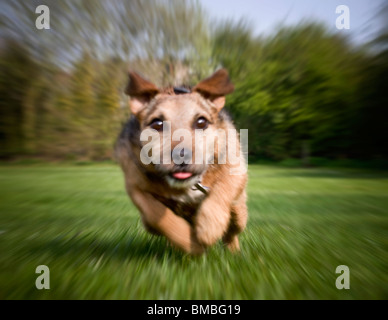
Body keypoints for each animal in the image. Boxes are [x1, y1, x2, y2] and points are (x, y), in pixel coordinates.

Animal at [116, 69, 249, 255]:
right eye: (157, 123)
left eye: (201, 122)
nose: (181, 156)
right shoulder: (135, 187)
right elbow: (156, 214)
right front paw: (191, 243)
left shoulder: (236, 169)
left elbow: (223, 189)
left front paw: (209, 227)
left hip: (239, 212)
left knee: (232, 231)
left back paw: (233, 251)